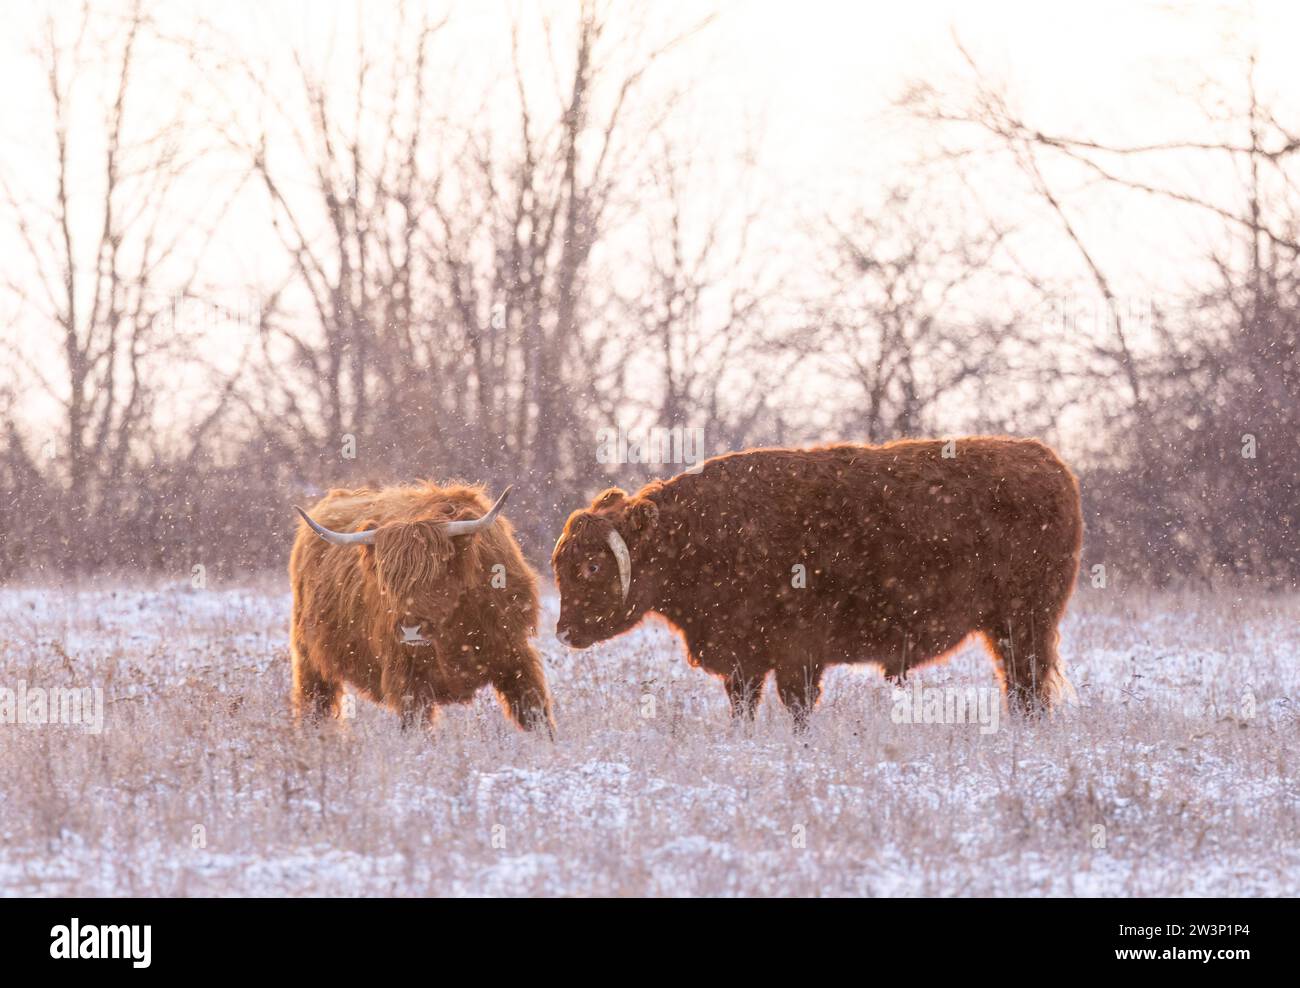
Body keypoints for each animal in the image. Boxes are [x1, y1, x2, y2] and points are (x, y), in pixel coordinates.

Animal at [289, 478, 553, 733]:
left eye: (438, 574)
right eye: (388, 581)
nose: (410, 630)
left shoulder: (515, 654)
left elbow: (536, 715)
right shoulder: (408, 679)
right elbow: (416, 729)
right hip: (309, 658)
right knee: (315, 704)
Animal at [553, 439, 1081, 728]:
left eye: (593, 566)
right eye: (560, 563)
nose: (563, 631)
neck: (695, 534)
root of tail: (1050, 463)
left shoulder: (796, 654)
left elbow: (797, 706)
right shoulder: (745, 659)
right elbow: (743, 704)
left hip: (1025, 623)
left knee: (1028, 684)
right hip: (1007, 628)